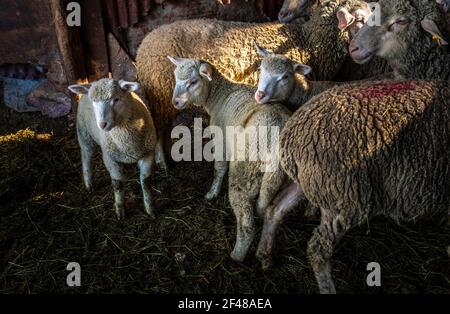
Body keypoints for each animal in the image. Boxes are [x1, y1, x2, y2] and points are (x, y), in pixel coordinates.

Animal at [68, 78, 163, 221]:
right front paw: (120, 210)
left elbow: (146, 183)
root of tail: (91, 81)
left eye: (116, 99)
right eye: (93, 101)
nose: (102, 125)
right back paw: (89, 183)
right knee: (86, 157)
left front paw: (150, 209)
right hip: (84, 134)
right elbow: (117, 185)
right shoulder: (110, 159)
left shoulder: (147, 154)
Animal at [166, 55, 292, 262]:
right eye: (176, 78)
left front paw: (212, 193)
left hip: (246, 171)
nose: (175, 102)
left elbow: (219, 168)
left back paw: (236, 256)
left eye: (193, 81)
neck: (218, 94)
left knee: (247, 224)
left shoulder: (222, 139)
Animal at [260, 79, 450, 294]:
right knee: (318, 250)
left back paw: (265, 256)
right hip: (344, 197)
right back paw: (328, 288)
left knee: (275, 209)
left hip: (309, 183)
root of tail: (290, 133)